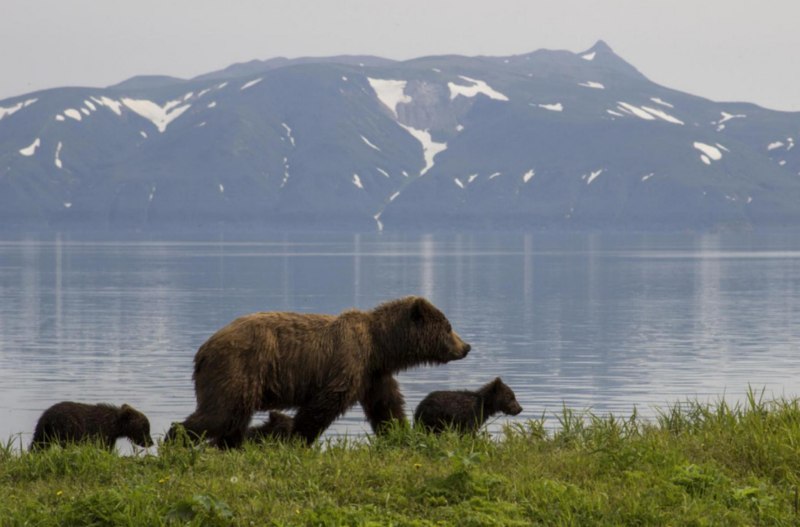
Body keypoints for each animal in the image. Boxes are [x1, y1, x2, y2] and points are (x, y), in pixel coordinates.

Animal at [167, 294, 468, 448]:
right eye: (449, 327)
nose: (466, 346)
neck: (380, 345)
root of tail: (203, 350)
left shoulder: (373, 374)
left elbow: (386, 405)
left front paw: (398, 432)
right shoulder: (349, 362)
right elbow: (324, 404)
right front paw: (296, 438)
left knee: (232, 419)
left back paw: (230, 445)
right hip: (238, 367)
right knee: (219, 413)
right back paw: (175, 441)